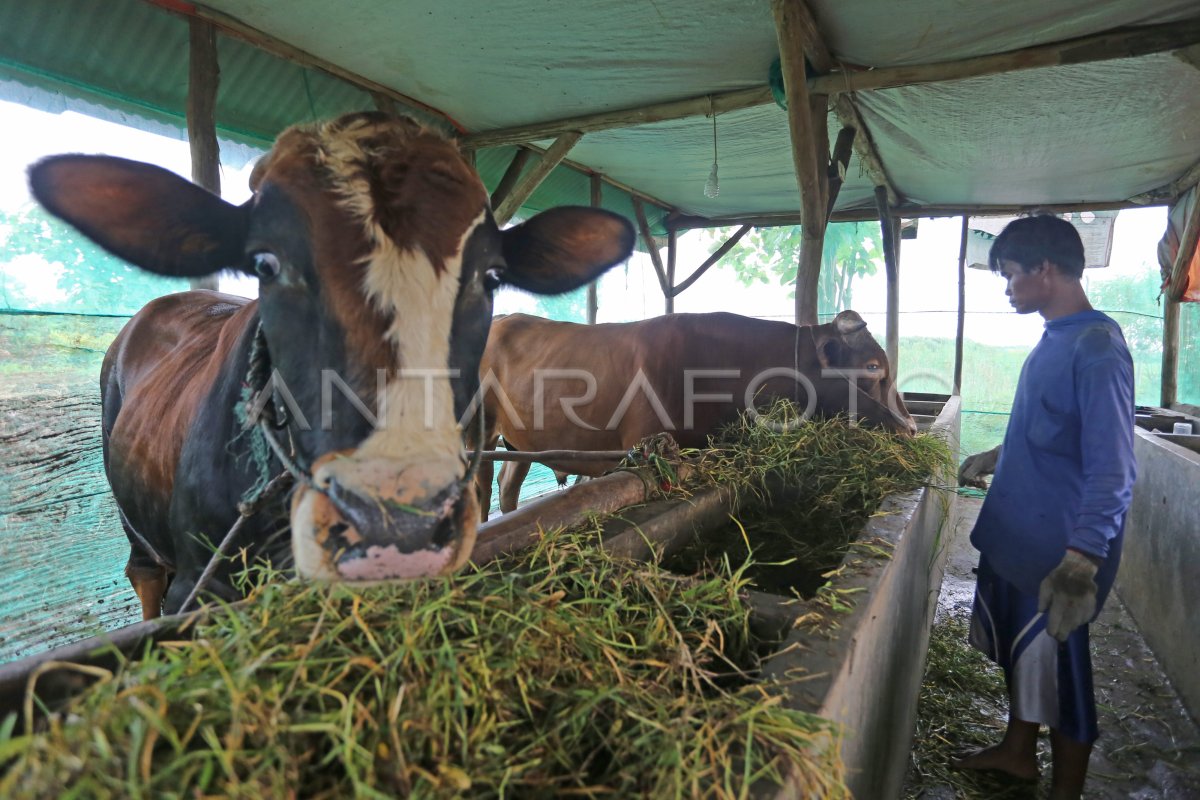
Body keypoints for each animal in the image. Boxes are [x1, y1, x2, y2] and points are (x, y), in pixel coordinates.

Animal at [28, 110, 633, 618]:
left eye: (490, 277)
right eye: (266, 263)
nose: (397, 521)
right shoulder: (201, 586)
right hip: (137, 526)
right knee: (144, 574)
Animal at [472, 309, 912, 515]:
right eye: (873, 367)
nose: (909, 429)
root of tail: (503, 316)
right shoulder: (642, 449)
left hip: (521, 441)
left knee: (508, 485)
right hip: (479, 430)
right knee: (481, 488)